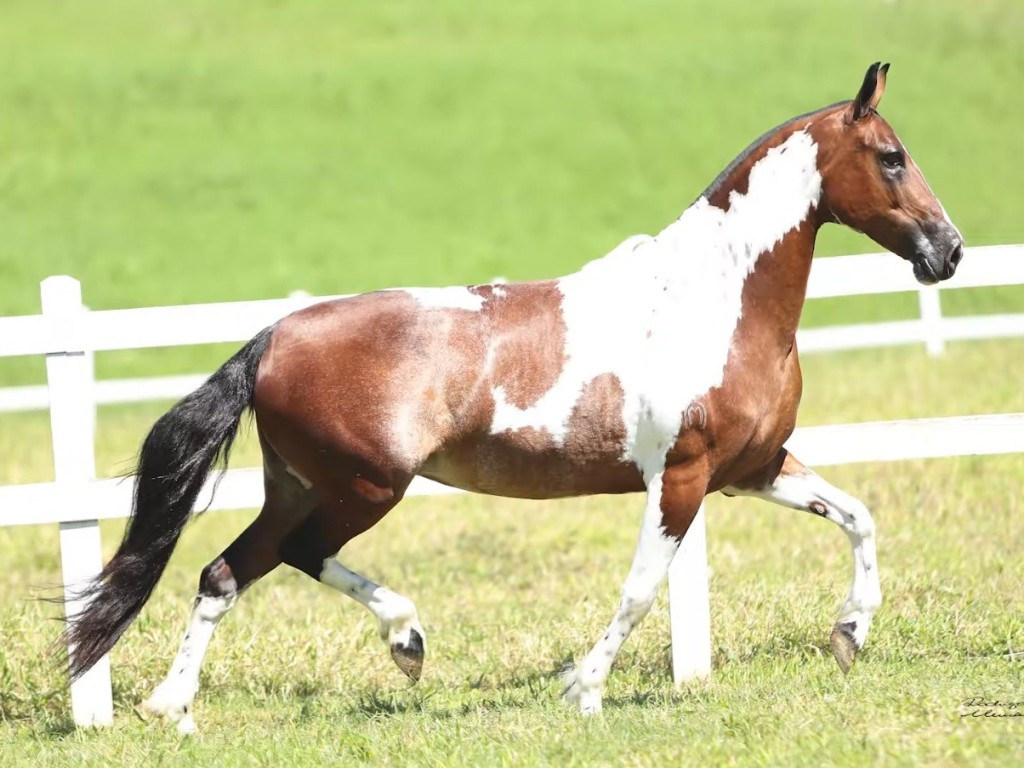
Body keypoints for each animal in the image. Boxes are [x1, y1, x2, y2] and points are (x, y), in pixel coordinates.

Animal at [61, 61, 958, 733]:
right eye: (890, 156)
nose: (947, 251)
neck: (713, 300)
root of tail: (274, 337)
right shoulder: (683, 478)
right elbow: (640, 589)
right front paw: (584, 690)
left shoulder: (756, 467)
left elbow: (859, 517)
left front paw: (849, 634)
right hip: (365, 486)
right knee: (286, 557)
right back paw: (398, 642)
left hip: (301, 486)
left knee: (229, 569)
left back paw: (186, 704)